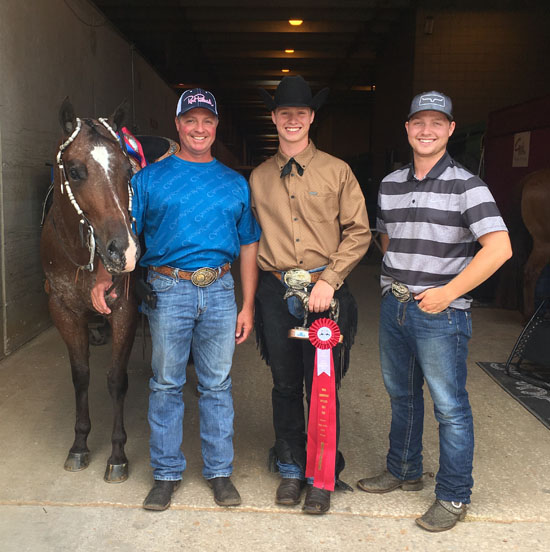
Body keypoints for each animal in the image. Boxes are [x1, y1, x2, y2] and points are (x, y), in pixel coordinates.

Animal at [41, 99, 140, 484]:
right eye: (74, 170)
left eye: (128, 171)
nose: (123, 250)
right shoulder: (63, 310)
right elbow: (80, 375)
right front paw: (80, 444)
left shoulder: (125, 310)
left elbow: (116, 380)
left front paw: (117, 454)